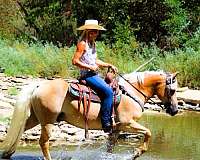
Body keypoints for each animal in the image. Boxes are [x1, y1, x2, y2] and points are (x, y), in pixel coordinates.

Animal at [0, 70, 178, 159]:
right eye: (173, 90)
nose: (175, 110)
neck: (132, 92)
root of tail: (39, 85)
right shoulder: (128, 123)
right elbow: (148, 132)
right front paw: (137, 152)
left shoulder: (116, 129)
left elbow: (110, 148)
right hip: (48, 121)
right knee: (43, 142)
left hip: (35, 119)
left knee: (20, 130)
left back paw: (8, 153)